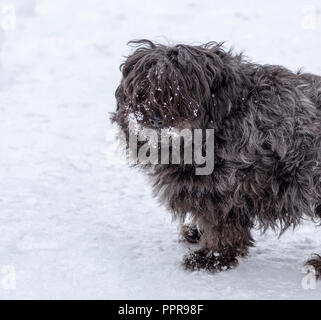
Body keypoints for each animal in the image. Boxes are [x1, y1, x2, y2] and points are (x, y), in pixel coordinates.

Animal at [110, 39, 320, 276]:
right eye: (142, 91)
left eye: (180, 94)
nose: (155, 120)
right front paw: (200, 235)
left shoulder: (222, 189)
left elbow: (221, 227)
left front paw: (213, 256)